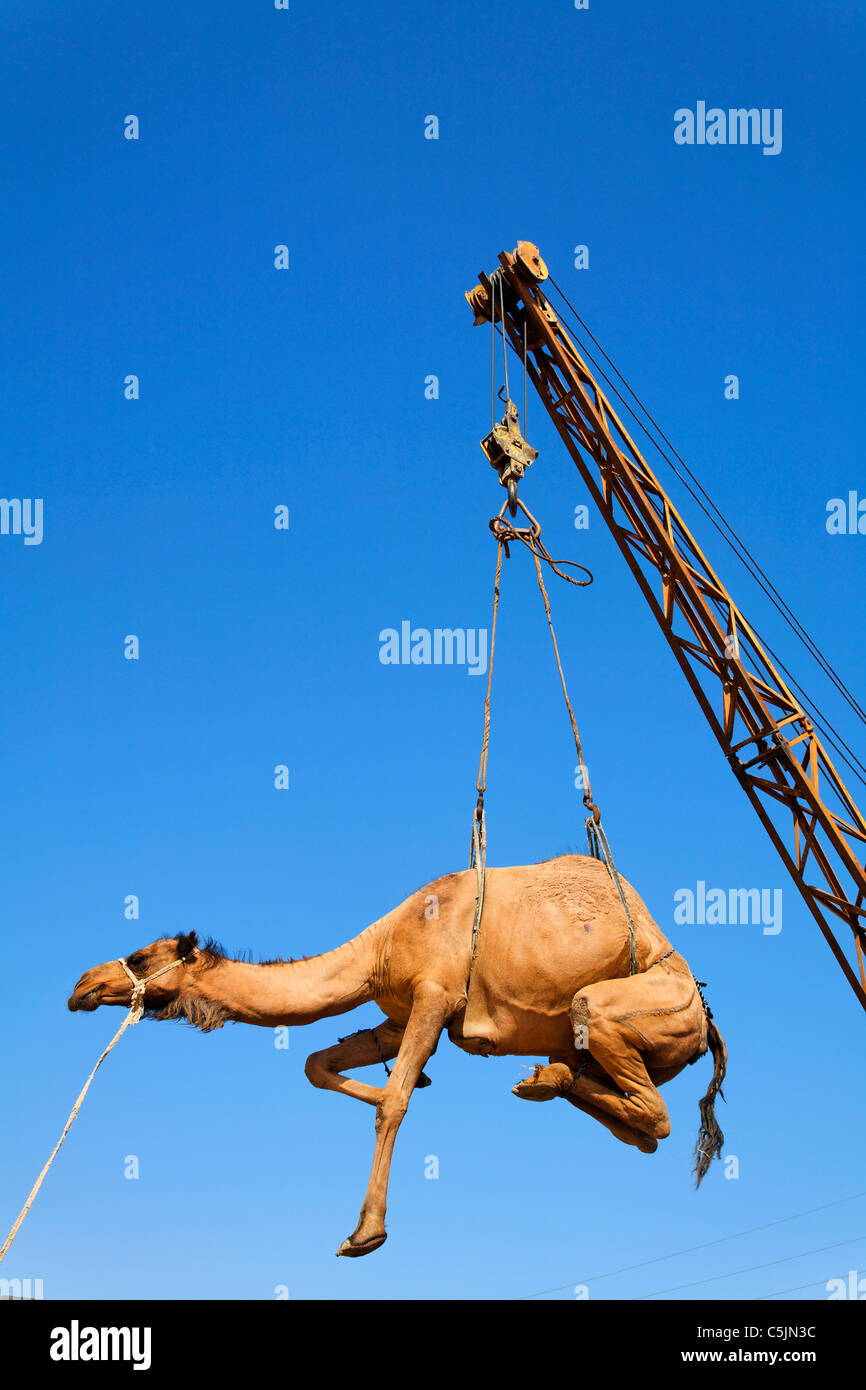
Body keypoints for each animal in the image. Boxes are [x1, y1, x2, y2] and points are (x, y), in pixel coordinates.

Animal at [68, 854, 727, 1257]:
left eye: (142, 955)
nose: (82, 985)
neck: (381, 945)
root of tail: (707, 1020)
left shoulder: (436, 995)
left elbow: (395, 1103)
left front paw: (365, 1234)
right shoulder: (400, 1012)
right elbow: (319, 1065)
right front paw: (418, 1082)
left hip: (653, 1006)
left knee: (651, 1108)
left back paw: (550, 1079)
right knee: (639, 1128)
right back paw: (548, 1077)